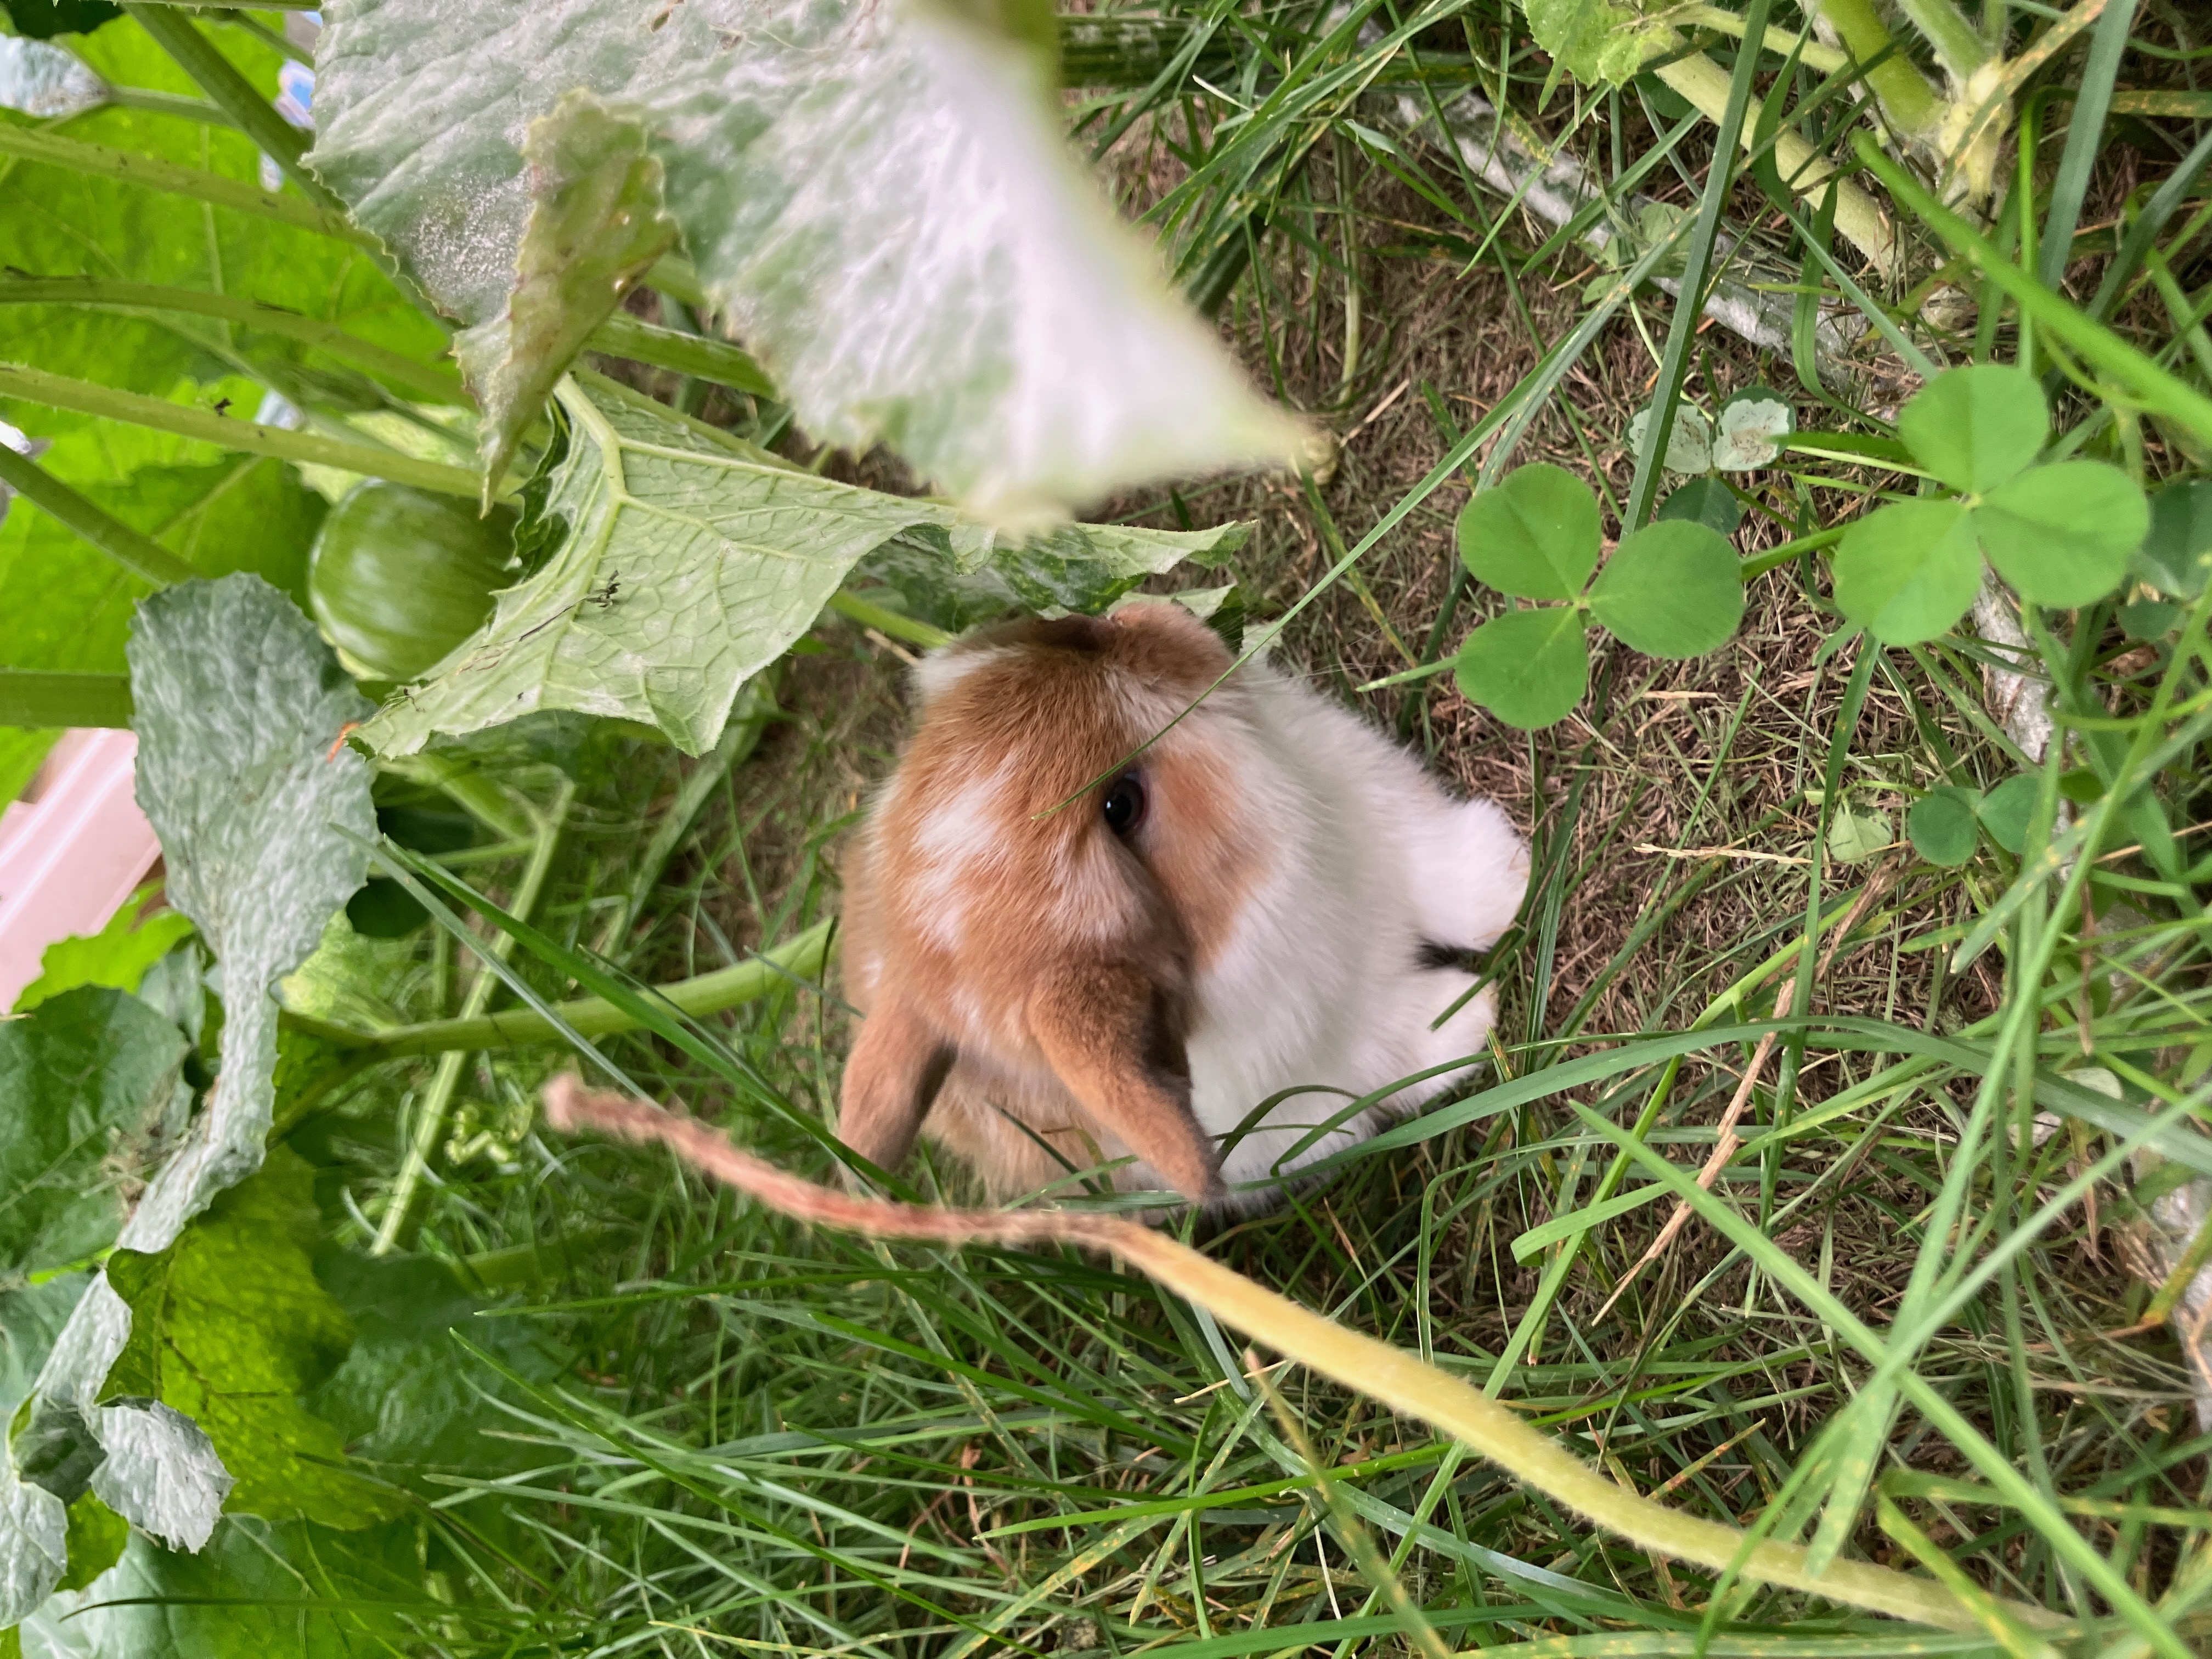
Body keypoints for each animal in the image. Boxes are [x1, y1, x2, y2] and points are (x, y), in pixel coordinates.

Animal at [836, 599, 1529, 1211]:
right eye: (1120, 805)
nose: (1122, 621)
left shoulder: (1365, 790)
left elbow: (1436, 864)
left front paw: (1511, 878)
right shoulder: (1330, 1066)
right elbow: (1396, 1047)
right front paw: (1470, 1017)